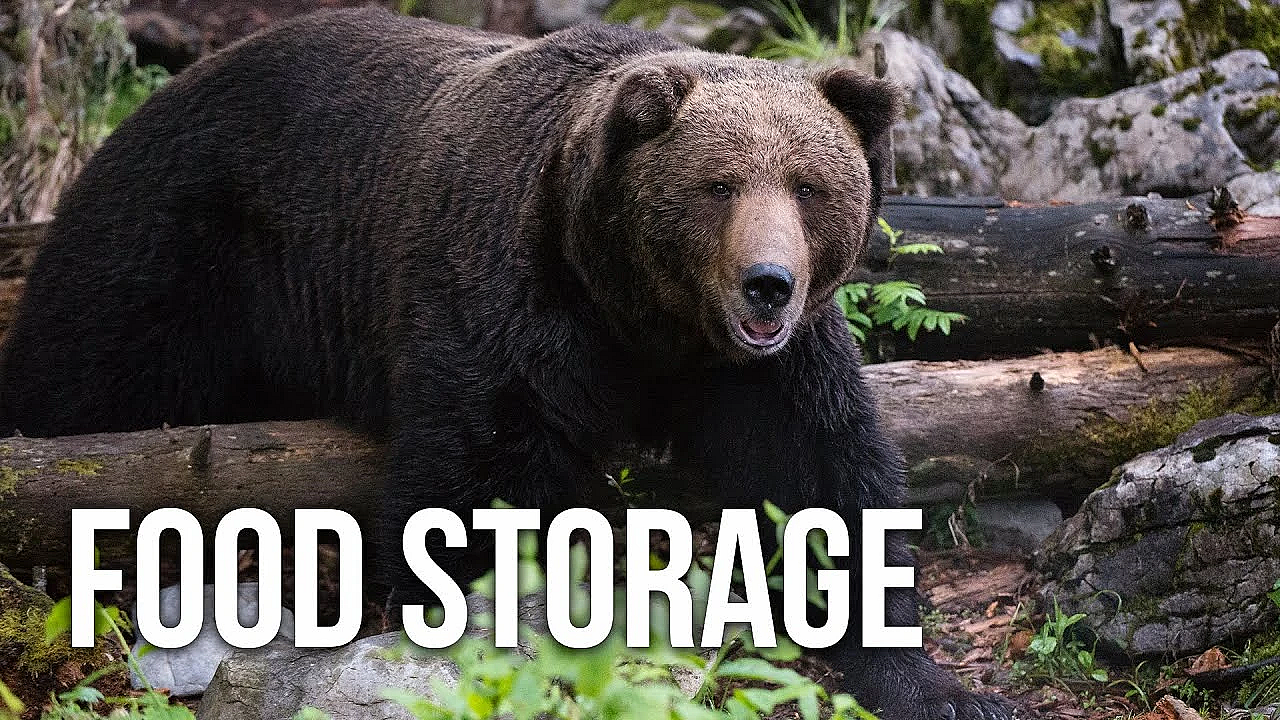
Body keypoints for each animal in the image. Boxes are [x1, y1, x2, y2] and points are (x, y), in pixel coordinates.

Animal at [0, 9, 1014, 719]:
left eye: (808, 186)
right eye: (718, 184)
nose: (768, 284)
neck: (643, 312)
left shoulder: (762, 367)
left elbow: (822, 480)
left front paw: (941, 687)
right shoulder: (509, 296)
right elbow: (479, 475)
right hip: (182, 246)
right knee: (84, 373)